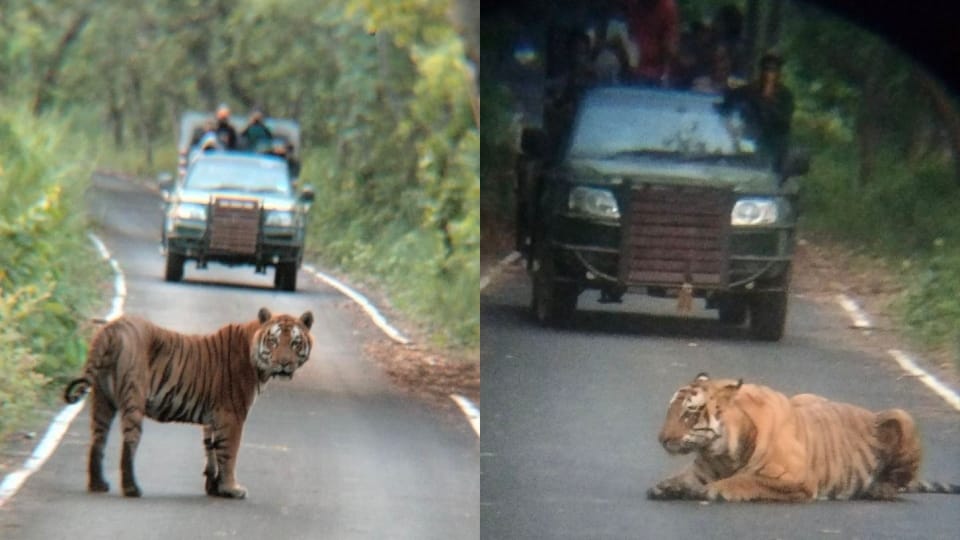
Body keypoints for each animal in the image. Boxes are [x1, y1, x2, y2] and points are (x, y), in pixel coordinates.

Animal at [63, 307, 314, 499]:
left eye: (295, 343)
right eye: (273, 341)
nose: (284, 364)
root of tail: (112, 329)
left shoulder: (213, 418)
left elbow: (212, 450)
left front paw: (214, 487)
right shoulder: (232, 416)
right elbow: (229, 454)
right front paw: (232, 489)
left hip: (102, 398)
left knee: (98, 440)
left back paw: (98, 485)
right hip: (133, 398)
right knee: (129, 443)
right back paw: (132, 489)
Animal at [648, 373, 960, 502]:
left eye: (689, 413)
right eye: (669, 411)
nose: (662, 439)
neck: (722, 451)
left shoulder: (795, 478)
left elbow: (745, 480)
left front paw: (712, 490)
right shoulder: (700, 471)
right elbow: (682, 479)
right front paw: (666, 487)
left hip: (901, 416)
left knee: (898, 483)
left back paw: (879, 490)